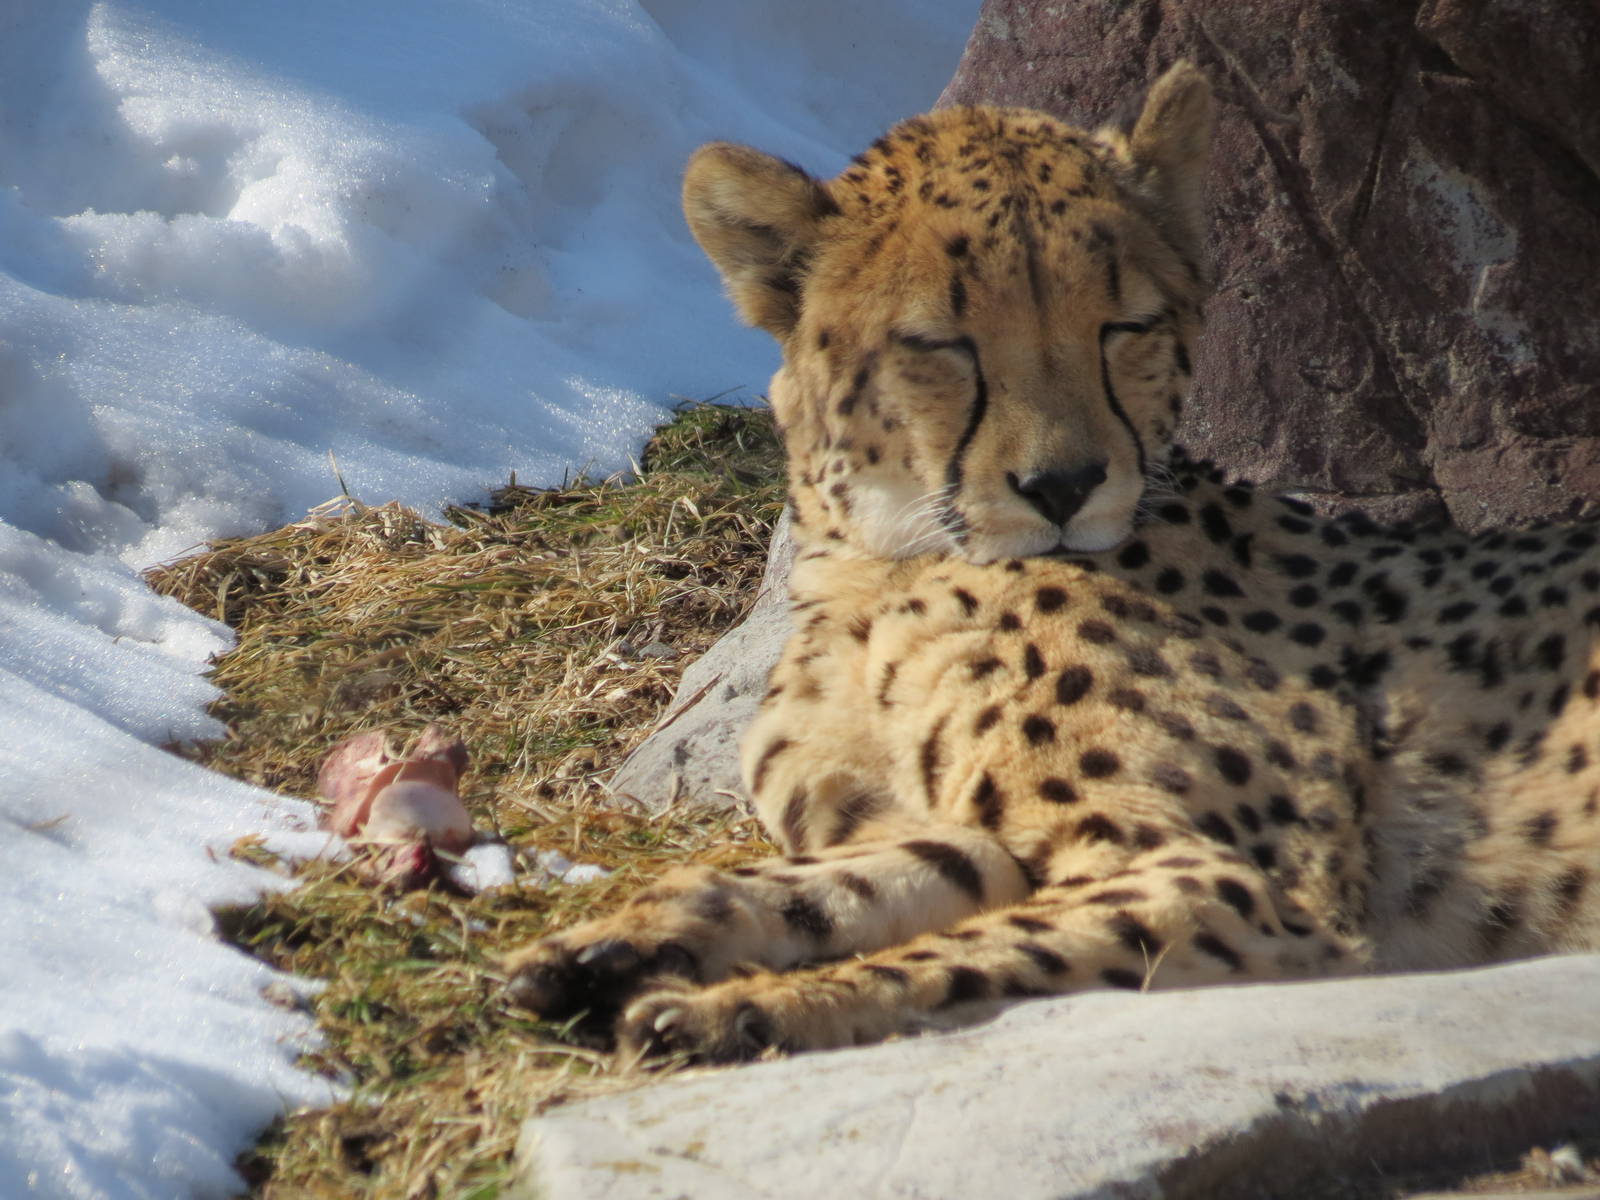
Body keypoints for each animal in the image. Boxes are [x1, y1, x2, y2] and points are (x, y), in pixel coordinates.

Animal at [506, 62, 1600, 1064]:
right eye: (939, 343)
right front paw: (621, 940)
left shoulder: (1240, 887)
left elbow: (961, 955)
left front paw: (741, 1011)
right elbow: (852, 880)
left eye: (1124, 327)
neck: (881, 565)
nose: (1065, 485)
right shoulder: (949, 833)